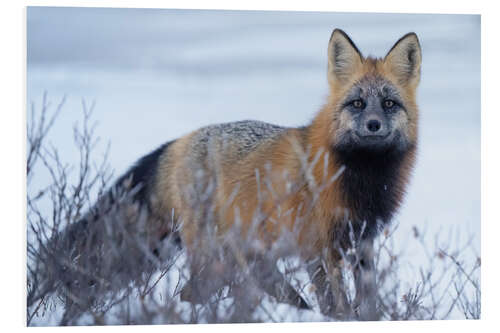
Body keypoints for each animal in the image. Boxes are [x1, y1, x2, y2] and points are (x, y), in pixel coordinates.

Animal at [56, 29, 420, 318]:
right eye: (357, 103)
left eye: (388, 104)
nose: (373, 125)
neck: (359, 179)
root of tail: (179, 141)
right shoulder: (318, 248)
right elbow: (336, 305)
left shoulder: (363, 242)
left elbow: (368, 302)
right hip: (216, 261)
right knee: (189, 296)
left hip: (247, 261)